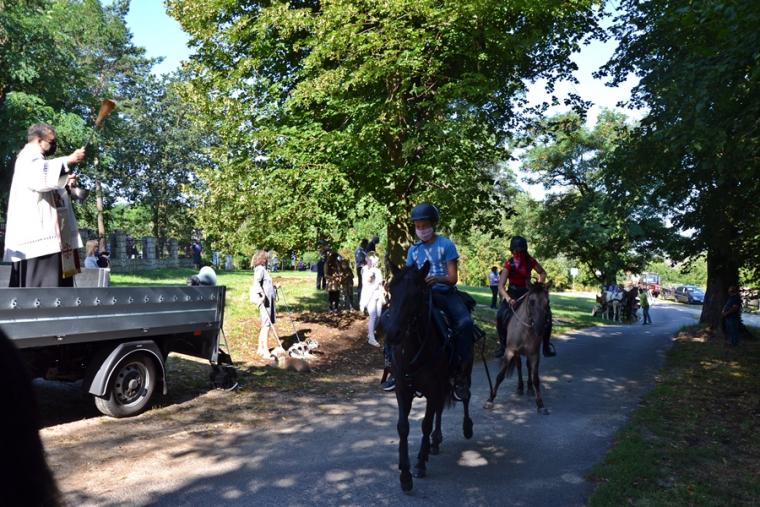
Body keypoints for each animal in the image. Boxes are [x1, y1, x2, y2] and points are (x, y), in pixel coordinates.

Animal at [382, 261, 473, 492]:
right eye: (391, 290)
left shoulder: (433, 388)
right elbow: (403, 427)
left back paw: (467, 427)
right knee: (440, 410)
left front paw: (419, 465)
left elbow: (425, 424)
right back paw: (436, 440)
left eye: (417, 294)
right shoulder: (403, 389)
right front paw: (404, 474)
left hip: (463, 372)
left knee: (465, 396)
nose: (392, 333)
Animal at [485, 282, 551, 414]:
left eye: (547, 302)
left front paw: (540, 404)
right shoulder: (509, 351)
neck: (526, 331)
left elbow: (536, 379)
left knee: (528, 368)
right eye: (531, 301)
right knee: (519, 366)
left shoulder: (534, 354)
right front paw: (490, 399)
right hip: (515, 353)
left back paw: (529, 388)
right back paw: (520, 387)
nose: (540, 328)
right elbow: (500, 376)